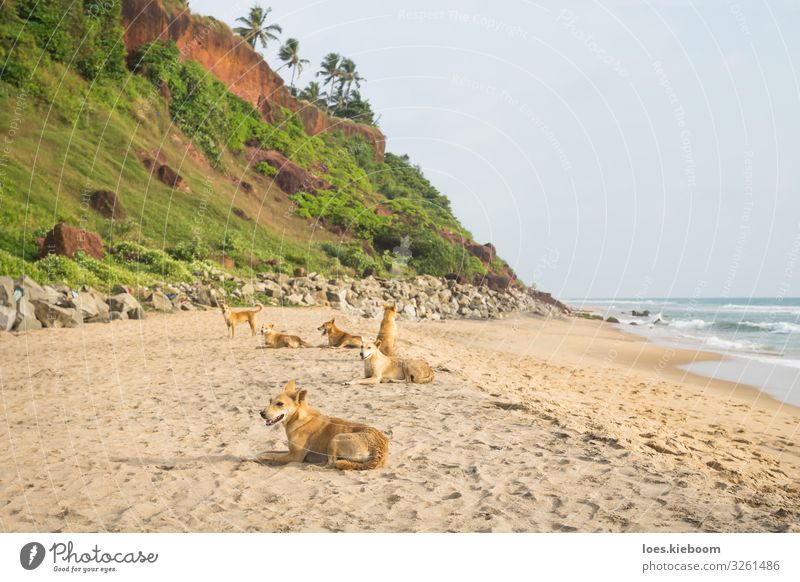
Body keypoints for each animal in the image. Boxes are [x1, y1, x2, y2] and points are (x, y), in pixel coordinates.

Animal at [258, 380, 390, 472]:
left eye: (280, 404)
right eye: (270, 401)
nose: (261, 413)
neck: (298, 417)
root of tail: (381, 449)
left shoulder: (294, 456)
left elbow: (269, 454)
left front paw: (255, 457)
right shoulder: (290, 451)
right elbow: (268, 451)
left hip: (336, 439)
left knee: (331, 464)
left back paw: (314, 467)